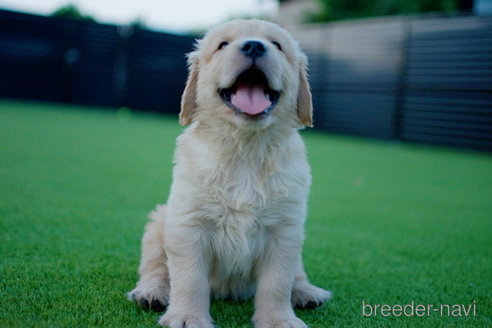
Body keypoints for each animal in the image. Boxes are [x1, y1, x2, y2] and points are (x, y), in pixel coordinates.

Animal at [129, 19, 332, 326]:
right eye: (222, 45)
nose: (254, 46)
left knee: (297, 273)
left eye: (277, 45)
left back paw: (306, 291)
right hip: (158, 223)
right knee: (155, 267)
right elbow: (189, 279)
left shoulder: (284, 230)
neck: (245, 149)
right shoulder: (189, 224)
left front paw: (279, 320)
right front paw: (187, 317)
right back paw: (151, 292)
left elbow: (277, 283)